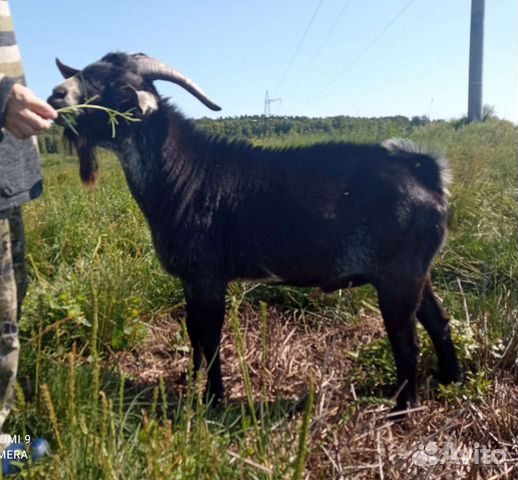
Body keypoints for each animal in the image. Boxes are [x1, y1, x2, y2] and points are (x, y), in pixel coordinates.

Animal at [48, 51, 464, 412]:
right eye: (85, 71)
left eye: (120, 87)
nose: (56, 95)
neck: (186, 174)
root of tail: (426, 175)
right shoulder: (189, 279)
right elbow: (194, 332)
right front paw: (192, 385)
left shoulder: (208, 276)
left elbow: (211, 337)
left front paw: (213, 401)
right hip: (415, 272)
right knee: (438, 322)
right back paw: (451, 380)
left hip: (398, 277)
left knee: (406, 340)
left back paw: (403, 408)